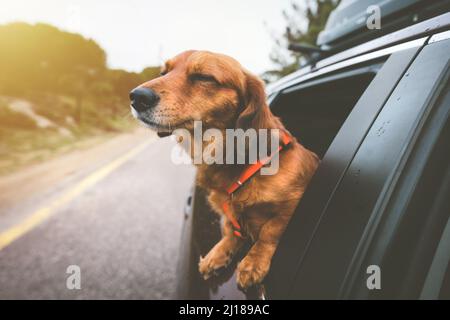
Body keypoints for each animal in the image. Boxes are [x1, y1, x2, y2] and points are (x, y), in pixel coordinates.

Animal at [130, 50, 320, 290]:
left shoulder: (293, 204)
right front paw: (218, 253)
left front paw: (253, 261)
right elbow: (231, 230)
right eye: (164, 72)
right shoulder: (227, 213)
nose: (136, 97)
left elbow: (270, 232)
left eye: (204, 77)